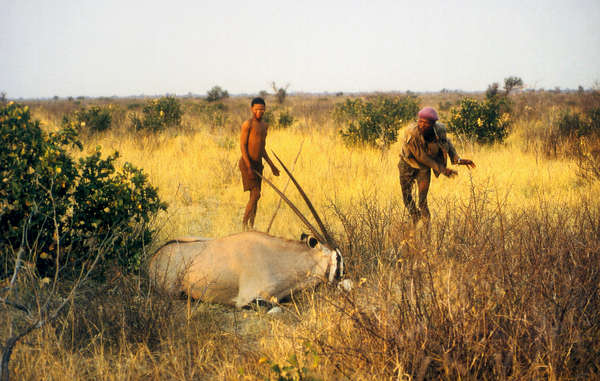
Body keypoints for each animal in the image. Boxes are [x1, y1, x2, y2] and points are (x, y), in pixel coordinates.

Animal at [147, 152, 350, 308]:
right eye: (338, 260)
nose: (349, 284)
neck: (281, 260)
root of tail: (155, 256)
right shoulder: (249, 299)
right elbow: (277, 307)